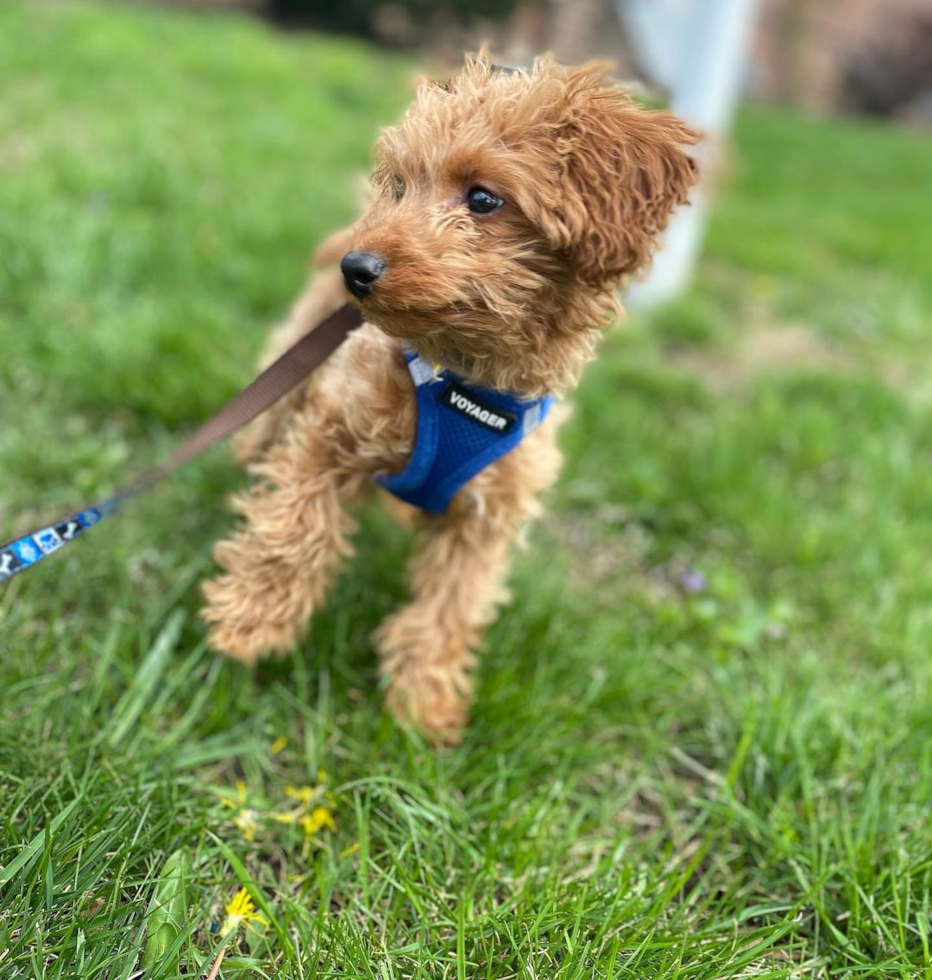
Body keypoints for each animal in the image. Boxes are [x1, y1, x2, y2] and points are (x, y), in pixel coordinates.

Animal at [204, 53, 700, 740]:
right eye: (400, 187)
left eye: (484, 198)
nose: (355, 269)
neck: (461, 378)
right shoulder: (331, 435)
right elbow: (296, 529)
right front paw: (250, 622)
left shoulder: (485, 519)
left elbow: (451, 606)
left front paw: (422, 706)